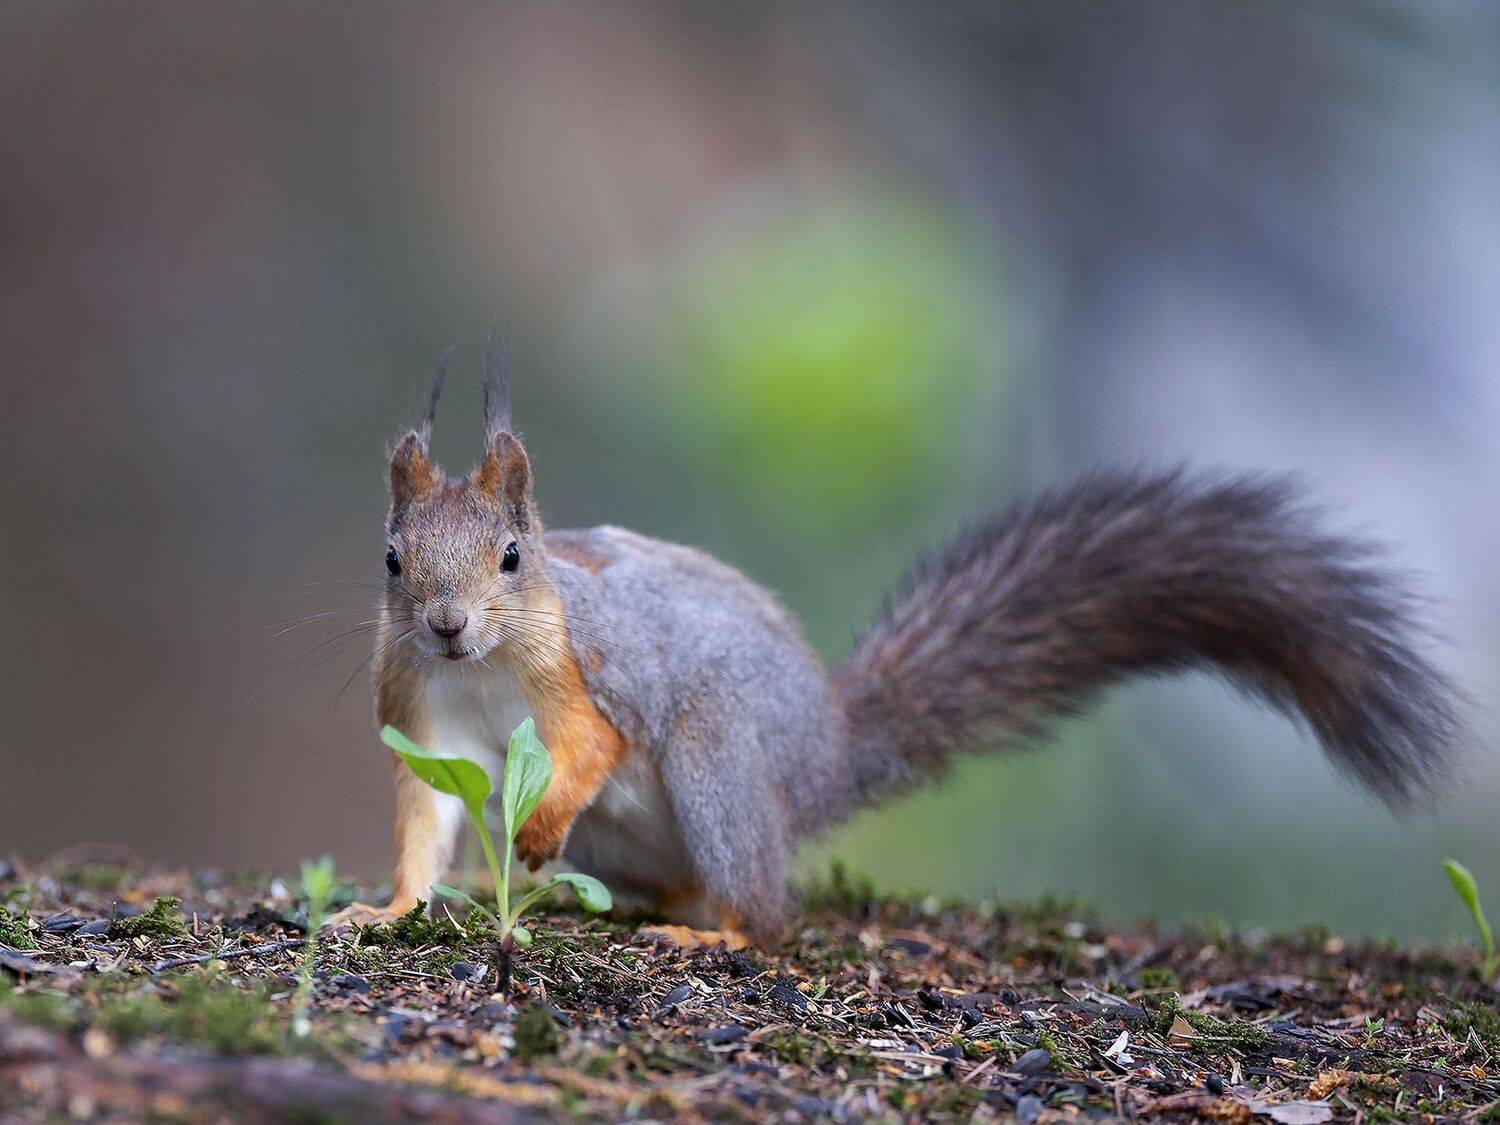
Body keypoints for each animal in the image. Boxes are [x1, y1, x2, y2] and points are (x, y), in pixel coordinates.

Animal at [331, 337, 1463, 944]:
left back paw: (707, 929)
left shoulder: (587, 678)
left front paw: (535, 827)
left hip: (715, 758)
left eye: (514, 556)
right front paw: (391, 909)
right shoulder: (422, 720)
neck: (480, 673)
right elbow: (427, 816)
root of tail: (828, 755)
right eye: (390, 559)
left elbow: (592, 748)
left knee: (760, 905)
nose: (445, 624)